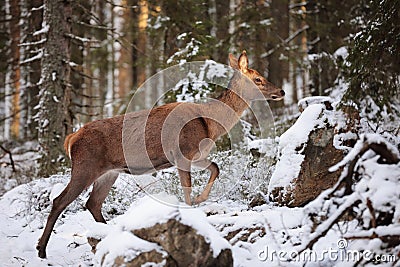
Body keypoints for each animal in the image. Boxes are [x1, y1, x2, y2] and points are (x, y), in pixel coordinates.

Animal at [35, 51, 284, 258]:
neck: (210, 124)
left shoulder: (196, 155)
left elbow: (215, 167)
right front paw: (194, 208)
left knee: (92, 203)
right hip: (85, 166)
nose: (281, 91)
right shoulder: (182, 153)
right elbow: (187, 190)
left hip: (109, 172)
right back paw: (41, 249)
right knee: (60, 201)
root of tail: (71, 139)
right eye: (258, 79)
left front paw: (201, 199)